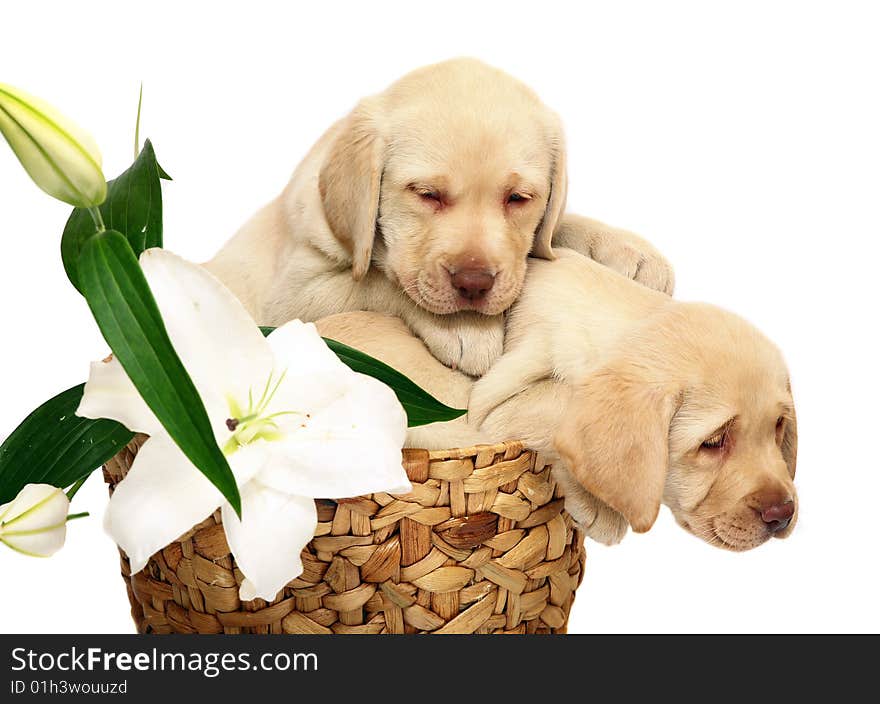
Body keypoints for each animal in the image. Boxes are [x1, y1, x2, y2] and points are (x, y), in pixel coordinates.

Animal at [208, 59, 672, 380]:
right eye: (426, 194)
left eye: (518, 198)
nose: (473, 284)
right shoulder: (292, 297)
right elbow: (379, 283)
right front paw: (464, 331)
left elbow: (555, 232)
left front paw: (624, 249)